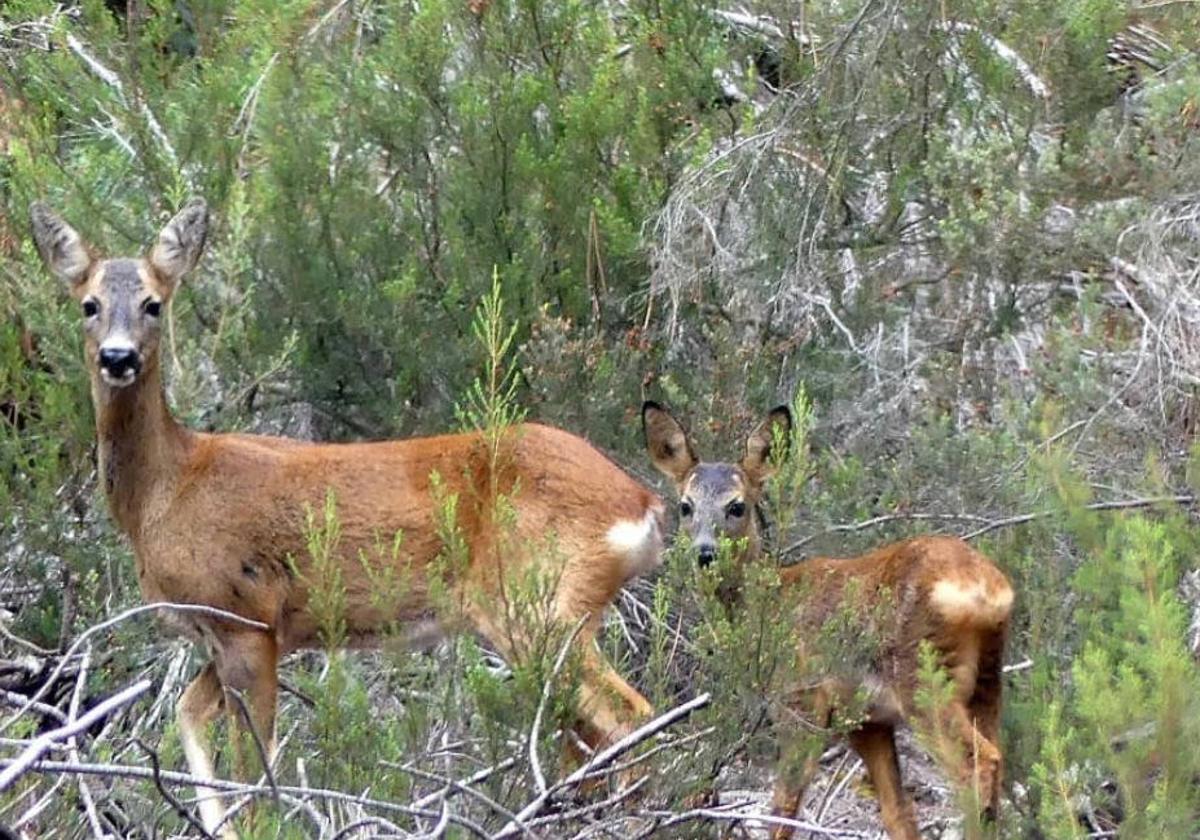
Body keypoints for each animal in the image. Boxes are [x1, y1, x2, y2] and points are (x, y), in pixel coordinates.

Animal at [28, 200, 667, 835]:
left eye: (153, 303)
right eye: (88, 304)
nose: (118, 357)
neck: (169, 487)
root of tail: (641, 502)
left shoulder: (245, 619)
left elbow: (254, 778)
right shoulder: (243, 634)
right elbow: (188, 718)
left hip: (537, 604)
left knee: (631, 715)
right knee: (585, 736)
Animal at [648, 400, 1012, 840]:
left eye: (737, 506)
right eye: (685, 506)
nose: (705, 553)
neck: (765, 607)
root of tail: (988, 588)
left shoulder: (799, 700)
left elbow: (784, 804)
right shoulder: (866, 722)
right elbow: (898, 812)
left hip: (924, 680)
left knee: (978, 764)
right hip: (987, 684)